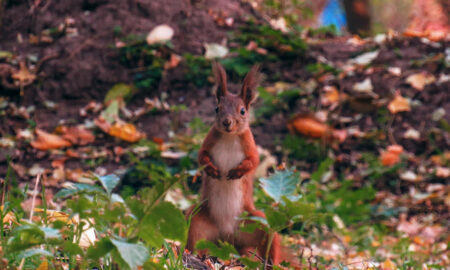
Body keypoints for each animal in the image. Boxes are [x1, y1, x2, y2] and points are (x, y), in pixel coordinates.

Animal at [186, 62, 298, 268]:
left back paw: (271, 264)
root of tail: (228, 239)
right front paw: (212, 170)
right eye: (217, 108)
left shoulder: (250, 146)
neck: (229, 137)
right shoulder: (208, 141)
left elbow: (253, 162)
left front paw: (237, 172)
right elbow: (201, 157)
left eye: (243, 111)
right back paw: (196, 257)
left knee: (270, 247)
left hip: (260, 225)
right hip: (197, 222)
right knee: (195, 241)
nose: (227, 122)